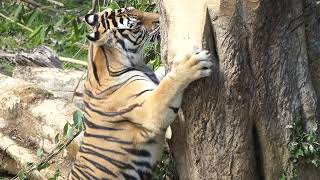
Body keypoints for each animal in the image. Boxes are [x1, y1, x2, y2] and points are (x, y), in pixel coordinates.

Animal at [69, 6, 211, 179]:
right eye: (136, 26)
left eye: (135, 9)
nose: (159, 18)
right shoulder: (151, 109)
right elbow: (168, 85)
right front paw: (190, 63)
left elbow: (162, 76)